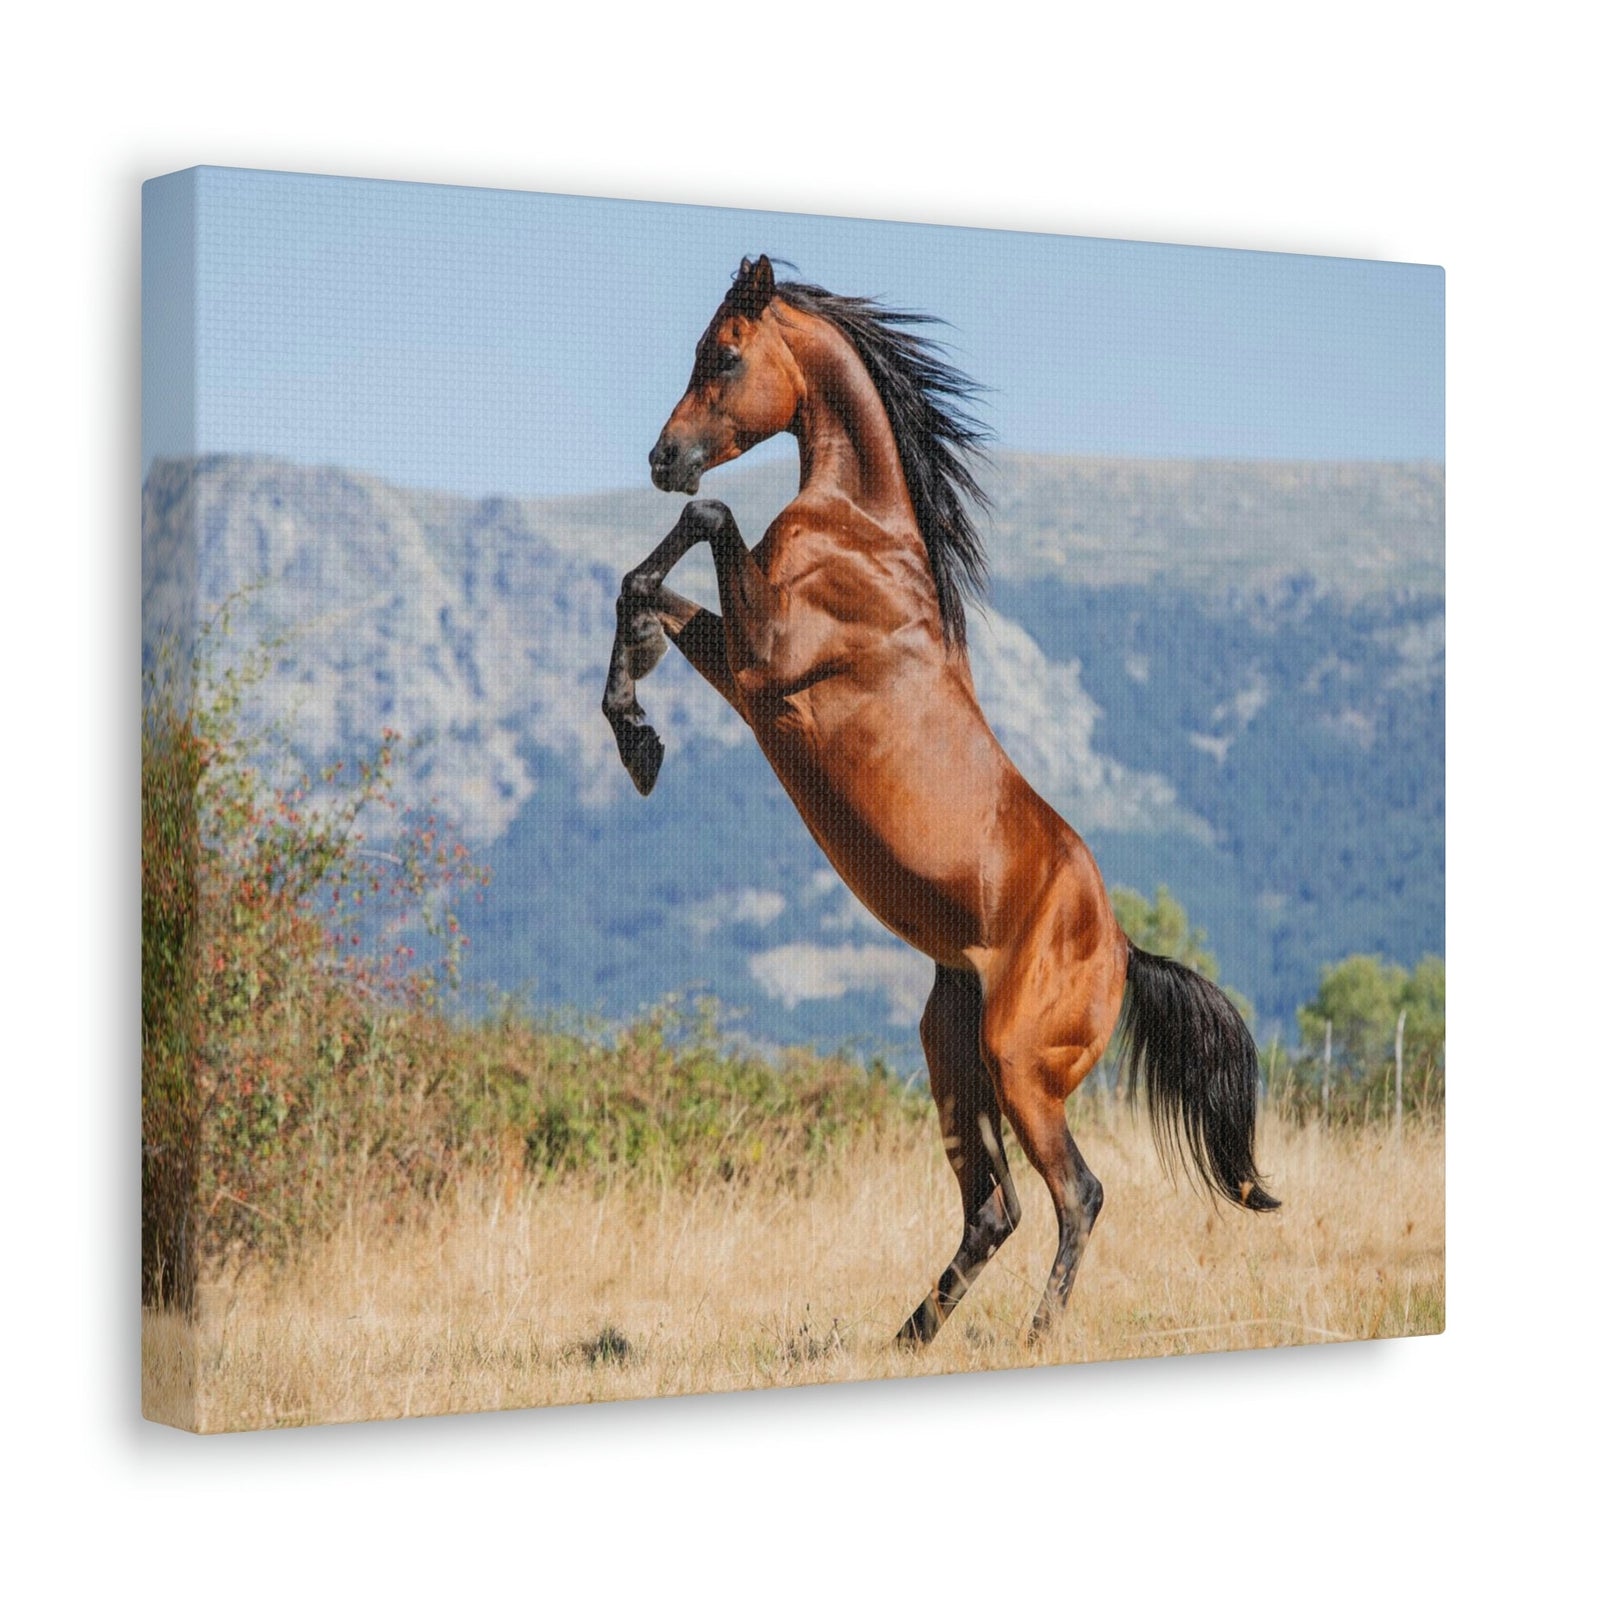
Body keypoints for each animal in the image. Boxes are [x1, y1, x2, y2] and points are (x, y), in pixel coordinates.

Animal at [603, 254, 1278, 1345]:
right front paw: (637, 736)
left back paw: (1034, 1335)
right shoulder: (748, 671)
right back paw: (909, 1335)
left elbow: (704, 528)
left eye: (726, 355)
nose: (664, 458)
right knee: (994, 1208)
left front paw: (636, 727)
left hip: (1018, 1064)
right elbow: (643, 592)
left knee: (1077, 1193)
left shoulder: (768, 656)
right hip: (952, 1051)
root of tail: (1122, 949)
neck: (858, 532)